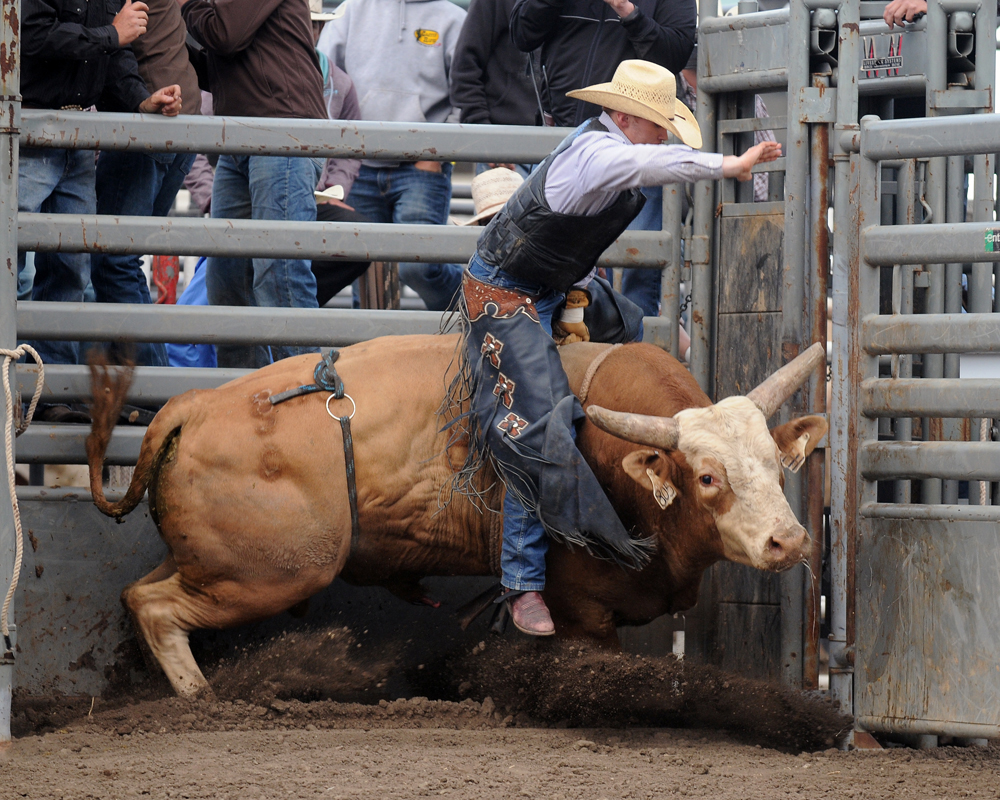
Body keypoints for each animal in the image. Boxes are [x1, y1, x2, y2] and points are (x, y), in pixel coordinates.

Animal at [86, 336, 827, 698]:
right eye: (707, 478)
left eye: (775, 461)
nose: (788, 540)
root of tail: (193, 406)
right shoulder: (582, 607)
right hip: (272, 573)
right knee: (155, 607)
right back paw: (200, 697)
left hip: (208, 560)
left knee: (138, 592)